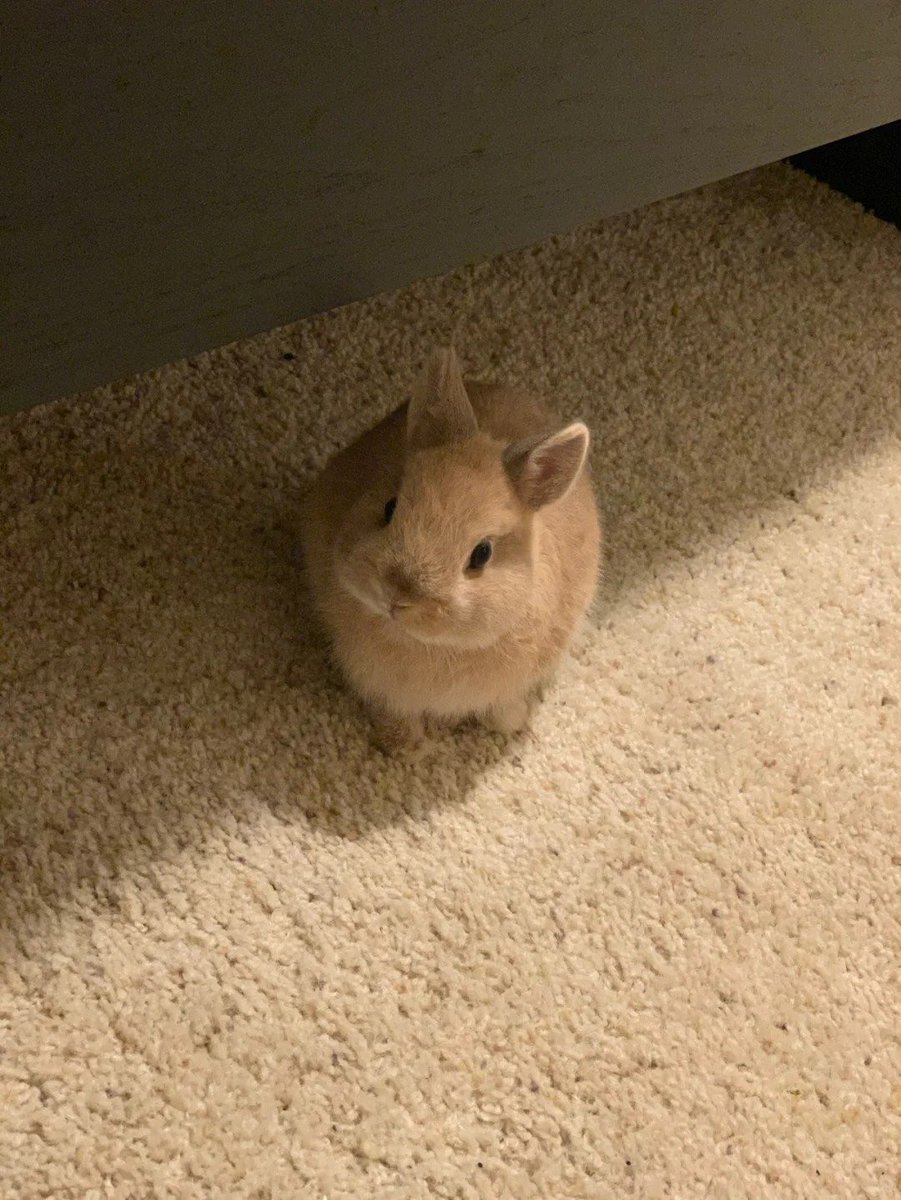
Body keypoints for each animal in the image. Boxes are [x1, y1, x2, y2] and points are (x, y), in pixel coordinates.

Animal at [300, 346, 601, 750]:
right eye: (390, 507)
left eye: (482, 554)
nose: (396, 596)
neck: (431, 645)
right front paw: (406, 746)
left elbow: (501, 706)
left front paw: (513, 724)